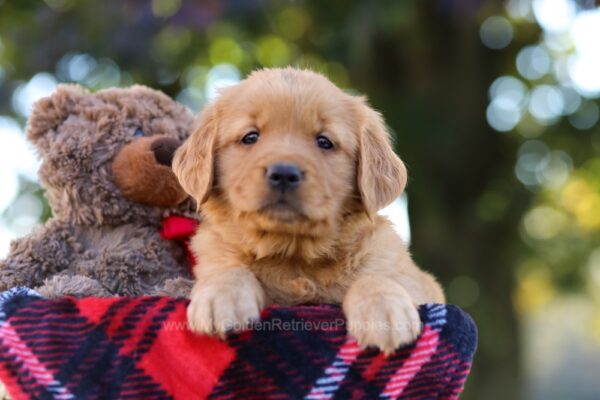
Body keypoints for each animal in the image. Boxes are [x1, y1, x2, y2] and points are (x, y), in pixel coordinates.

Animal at [171, 67, 442, 354]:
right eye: (250, 137)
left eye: (324, 141)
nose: (283, 173)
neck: (293, 257)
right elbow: (228, 268)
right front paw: (222, 296)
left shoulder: (416, 281)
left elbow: (377, 277)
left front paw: (383, 311)